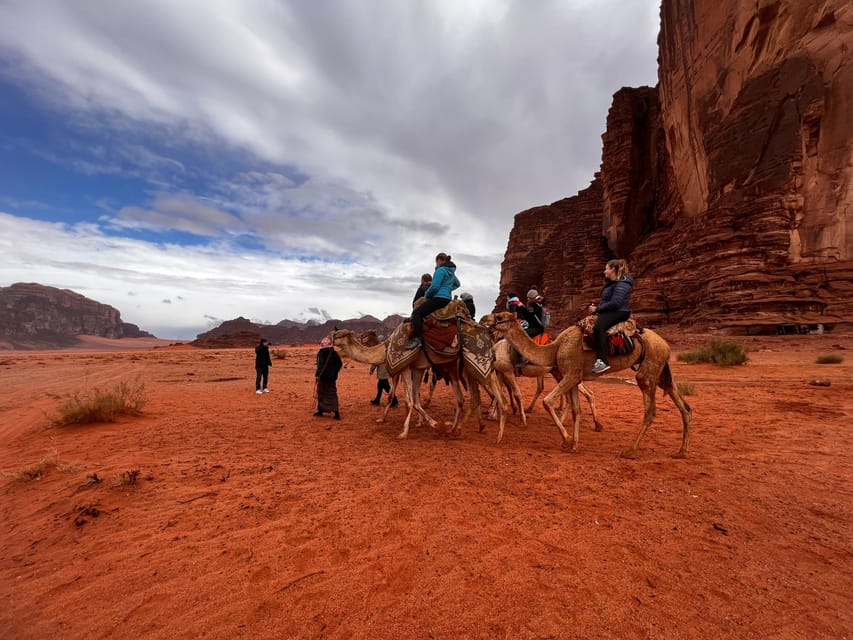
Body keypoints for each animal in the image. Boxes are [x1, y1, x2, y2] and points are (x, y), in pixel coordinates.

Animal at [332, 330, 506, 440]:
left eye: (340, 335)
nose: (330, 337)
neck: (386, 348)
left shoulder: (405, 368)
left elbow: (409, 400)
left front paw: (404, 432)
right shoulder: (416, 369)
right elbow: (413, 399)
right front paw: (425, 423)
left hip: (465, 368)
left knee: (485, 392)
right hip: (458, 369)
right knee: (469, 397)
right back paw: (465, 427)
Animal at [490, 308, 688, 456]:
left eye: (499, 317)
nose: (486, 320)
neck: (555, 348)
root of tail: (666, 345)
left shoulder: (570, 374)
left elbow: (547, 402)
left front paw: (567, 439)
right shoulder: (573, 375)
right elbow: (576, 409)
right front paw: (573, 445)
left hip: (649, 369)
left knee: (650, 410)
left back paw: (630, 451)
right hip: (660, 371)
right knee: (684, 406)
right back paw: (681, 452)